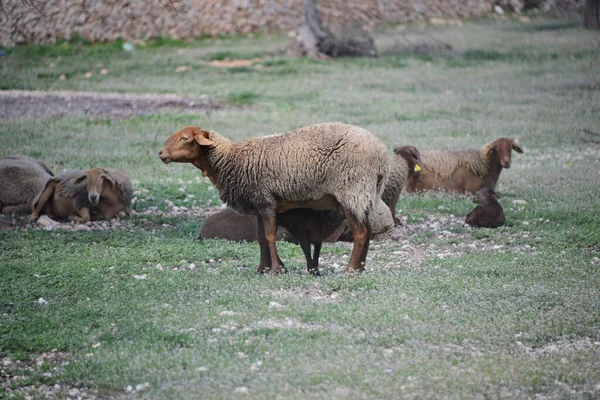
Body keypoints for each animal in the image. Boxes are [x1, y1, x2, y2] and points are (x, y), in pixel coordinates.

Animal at [158, 122, 390, 276]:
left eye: (184, 138)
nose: (160, 153)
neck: (231, 160)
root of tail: (382, 156)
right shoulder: (258, 204)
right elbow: (261, 238)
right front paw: (262, 268)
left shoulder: (267, 201)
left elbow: (270, 237)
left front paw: (277, 268)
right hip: (363, 194)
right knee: (368, 229)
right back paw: (361, 267)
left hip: (352, 190)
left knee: (360, 232)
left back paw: (350, 269)